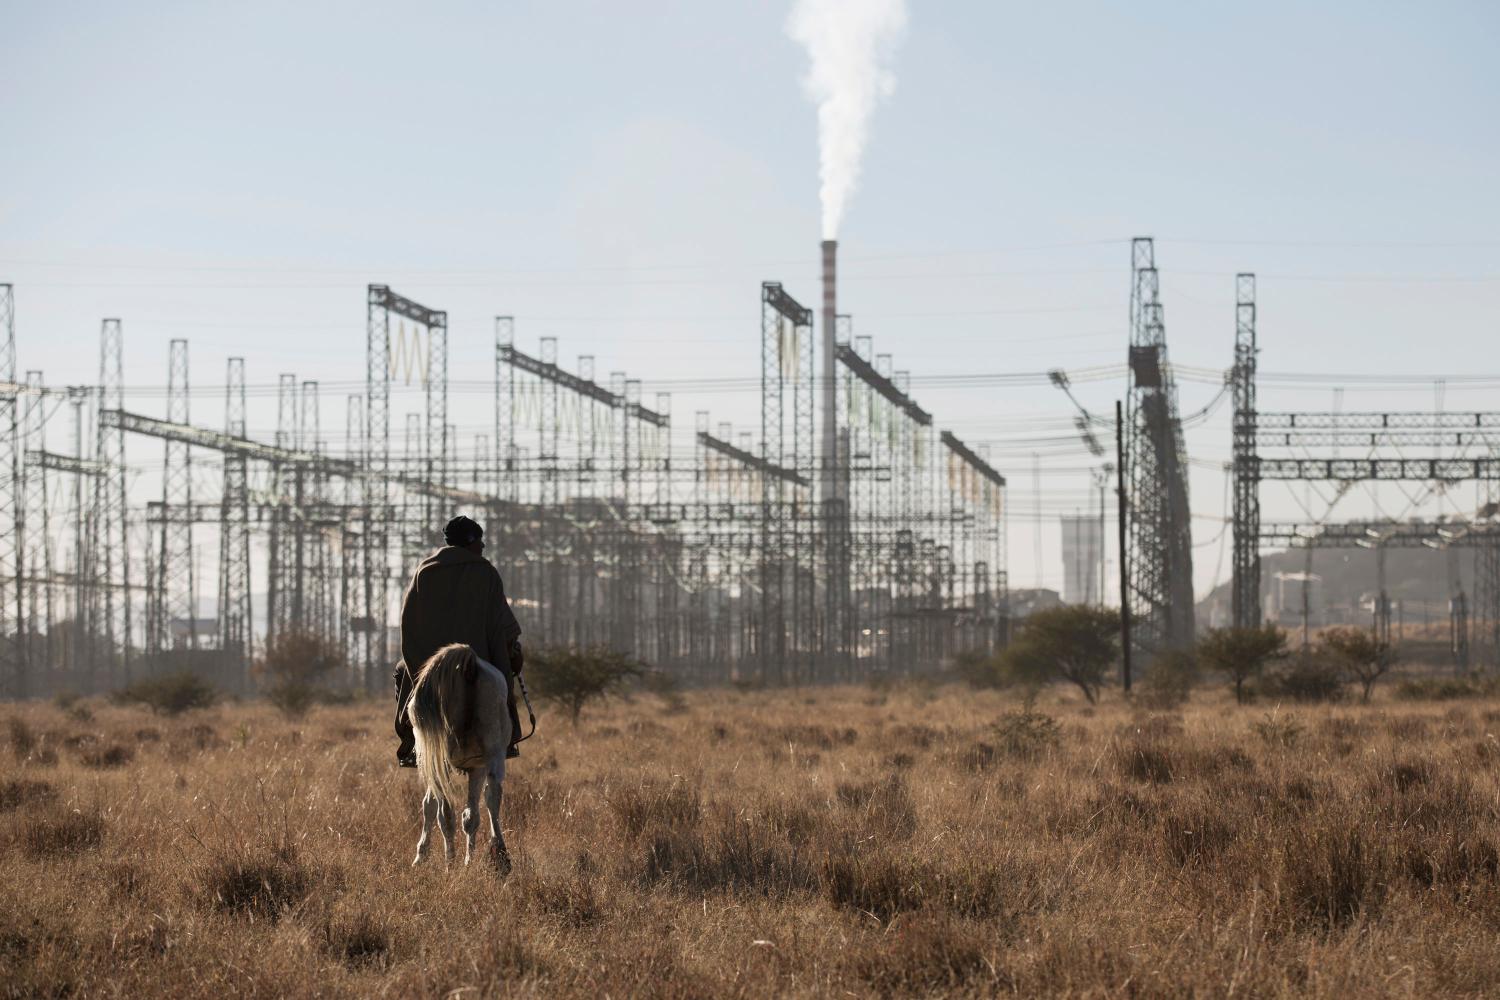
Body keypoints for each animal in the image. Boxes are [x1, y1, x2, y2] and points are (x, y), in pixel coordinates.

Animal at [408, 644, 513, 869]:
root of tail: (469, 662)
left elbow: (430, 806)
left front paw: (422, 856)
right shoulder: (478, 765)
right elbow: (471, 813)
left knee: (448, 813)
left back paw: (452, 863)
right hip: (491, 756)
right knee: (490, 798)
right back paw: (495, 856)